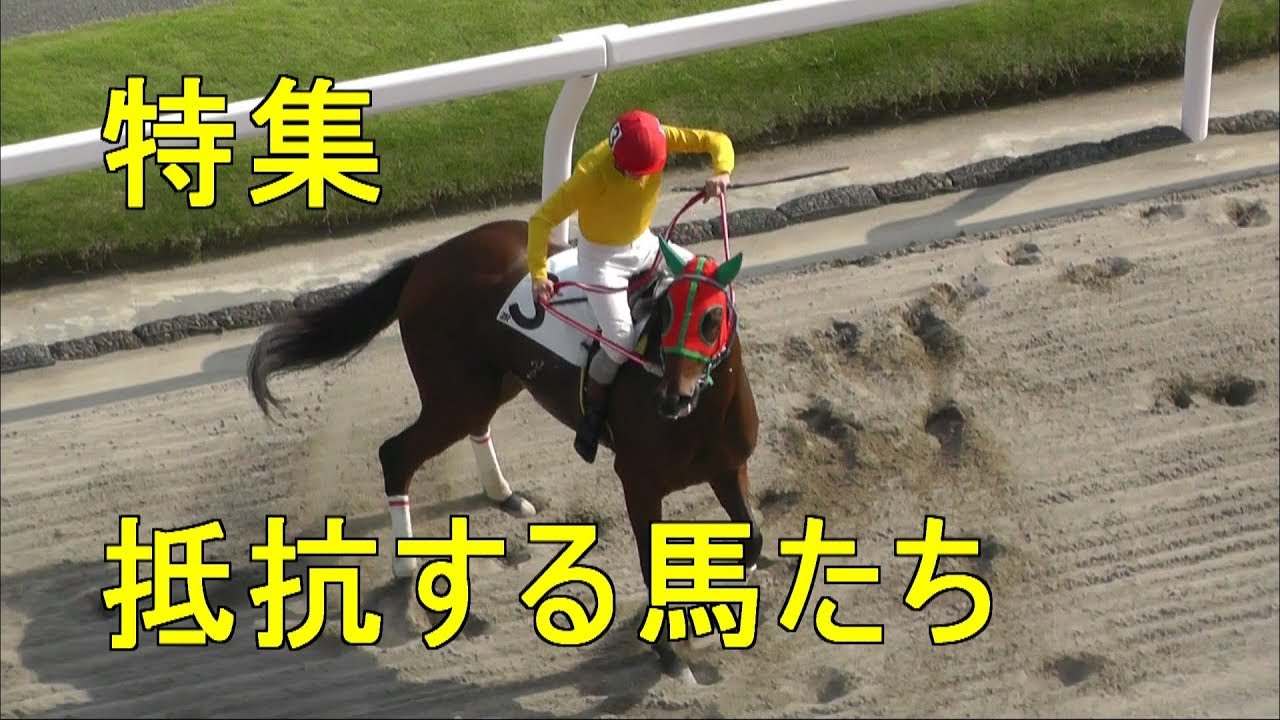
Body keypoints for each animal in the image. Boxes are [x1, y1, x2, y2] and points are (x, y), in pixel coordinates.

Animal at [245, 191, 764, 679]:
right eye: (664, 314)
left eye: (712, 318)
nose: (671, 398)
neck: (700, 416)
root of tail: (426, 261)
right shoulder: (639, 484)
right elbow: (654, 569)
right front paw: (670, 654)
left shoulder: (727, 466)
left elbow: (752, 541)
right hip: (454, 396)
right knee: (396, 453)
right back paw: (405, 563)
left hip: (492, 382)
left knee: (475, 426)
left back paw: (505, 494)